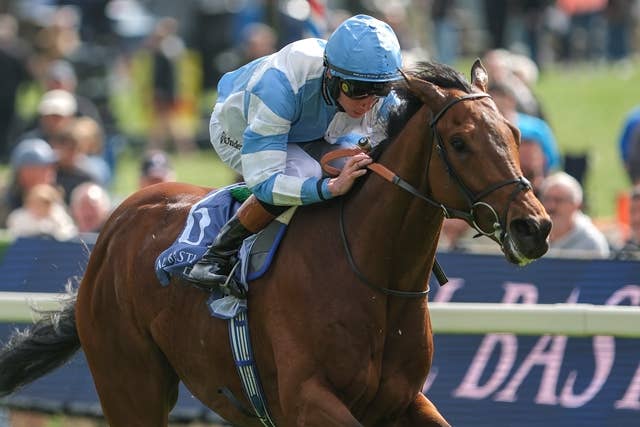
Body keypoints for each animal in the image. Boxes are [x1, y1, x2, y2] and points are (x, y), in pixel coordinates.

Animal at [0, 60, 551, 427]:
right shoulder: (308, 398)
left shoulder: (403, 401)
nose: (535, 227)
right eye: (459, 142)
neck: (374, 276)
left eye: (515, 132)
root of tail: (118, 222)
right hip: (129, 383)